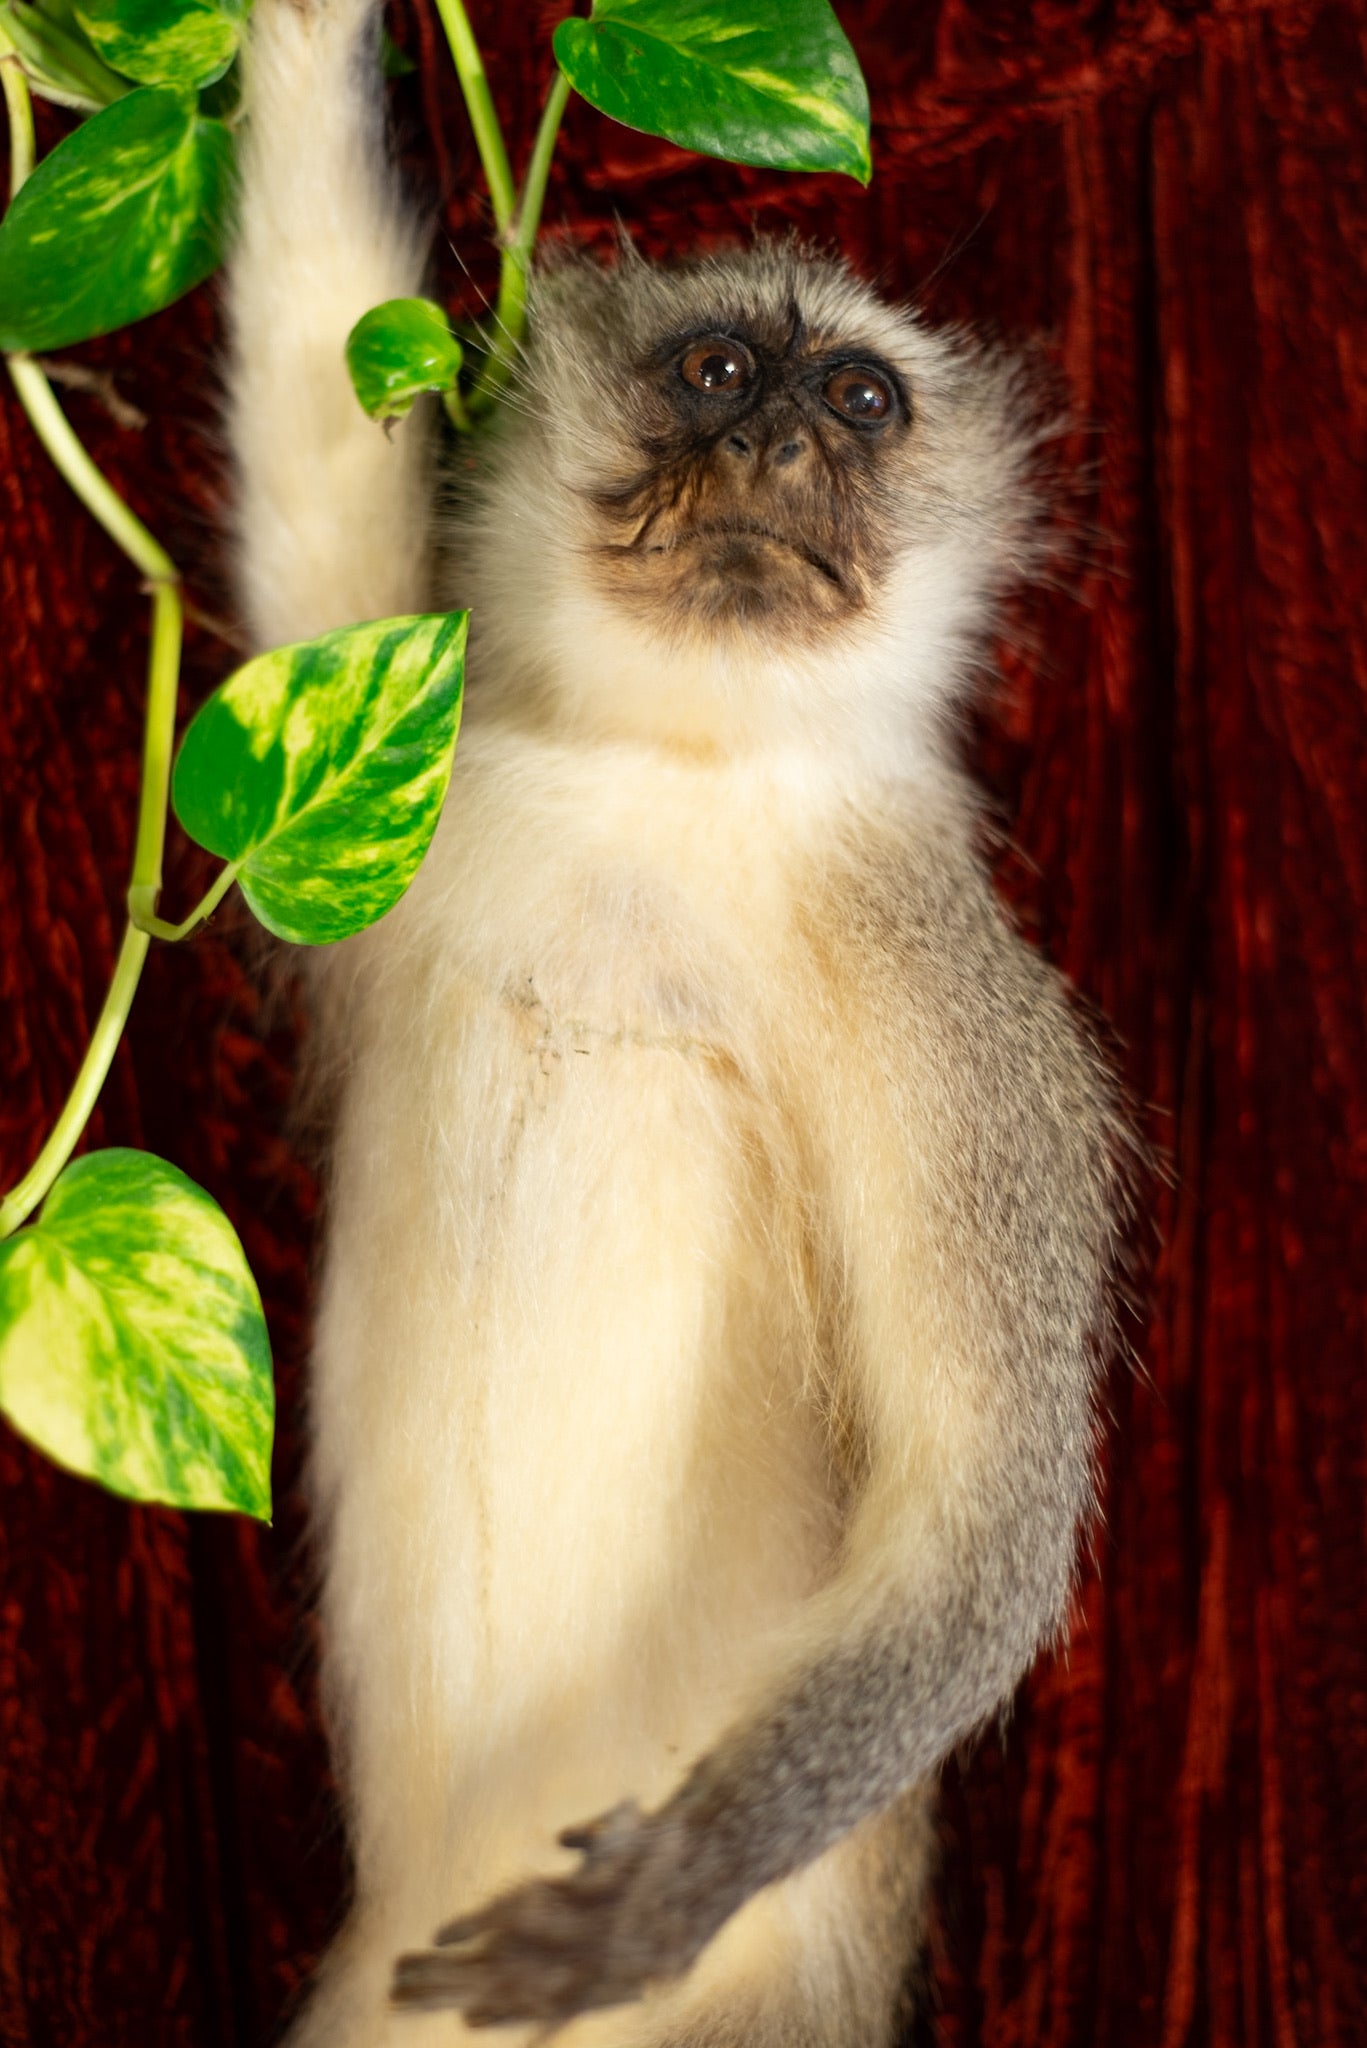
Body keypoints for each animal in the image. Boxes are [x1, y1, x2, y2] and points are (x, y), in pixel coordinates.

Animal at [227, 1, 1130, 2043]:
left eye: (860, 403)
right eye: (715, 368)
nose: (775, 438)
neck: (672, 772)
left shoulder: (939, 990)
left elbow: (982, 1499)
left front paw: (678, 1870)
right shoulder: (384, 779)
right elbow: (319, 502)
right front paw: (291, 32)